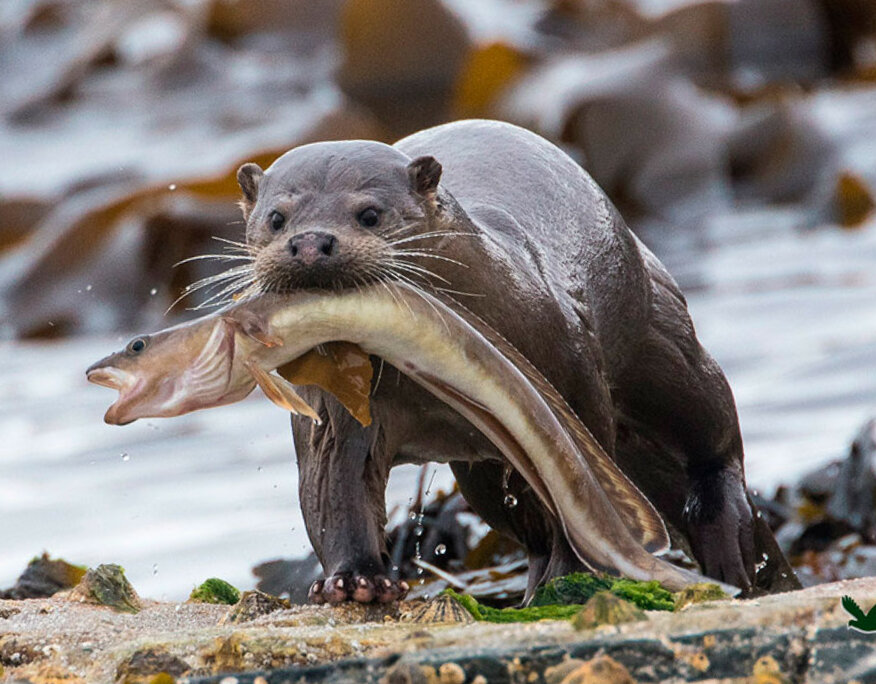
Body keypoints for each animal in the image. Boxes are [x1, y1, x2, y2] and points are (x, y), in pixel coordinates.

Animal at [236, 120, 796, 600]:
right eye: (276, 218)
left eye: (370, 214)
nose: (310, 242)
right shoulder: (334, 414)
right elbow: (334, 492)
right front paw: (354, 581)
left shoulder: (571, 381)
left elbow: (583, 490)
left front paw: (575, 575)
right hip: (479, 474)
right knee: (527, 530)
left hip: (659, 342)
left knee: (711, 428)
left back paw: (727, 544)